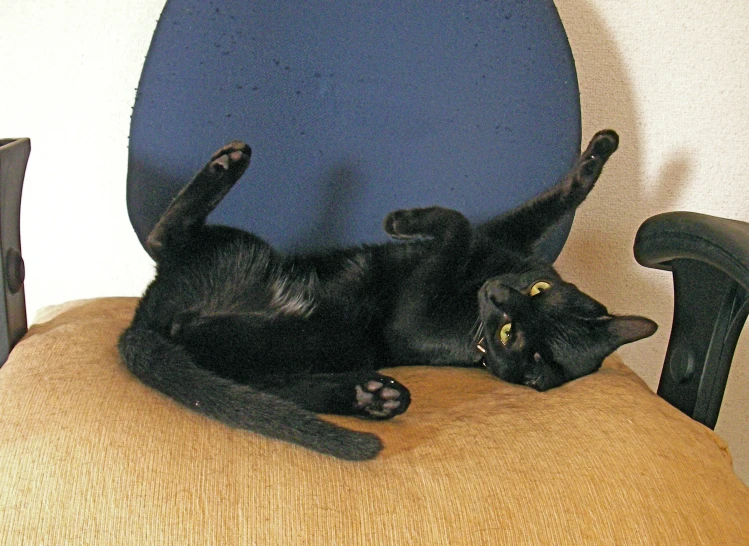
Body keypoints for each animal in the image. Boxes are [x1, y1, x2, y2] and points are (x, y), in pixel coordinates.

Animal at [117, 130, 656, 456]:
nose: (499, 293)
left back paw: (375, 397)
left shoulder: (413, 316)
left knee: (165, 244)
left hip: (277, 333)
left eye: (510, 335)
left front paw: (402, 221)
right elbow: (546, 203)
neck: (473, 287)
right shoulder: (504, 239)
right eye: (539, 290)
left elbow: (456, 225)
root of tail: (149, 322)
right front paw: (600, 150)